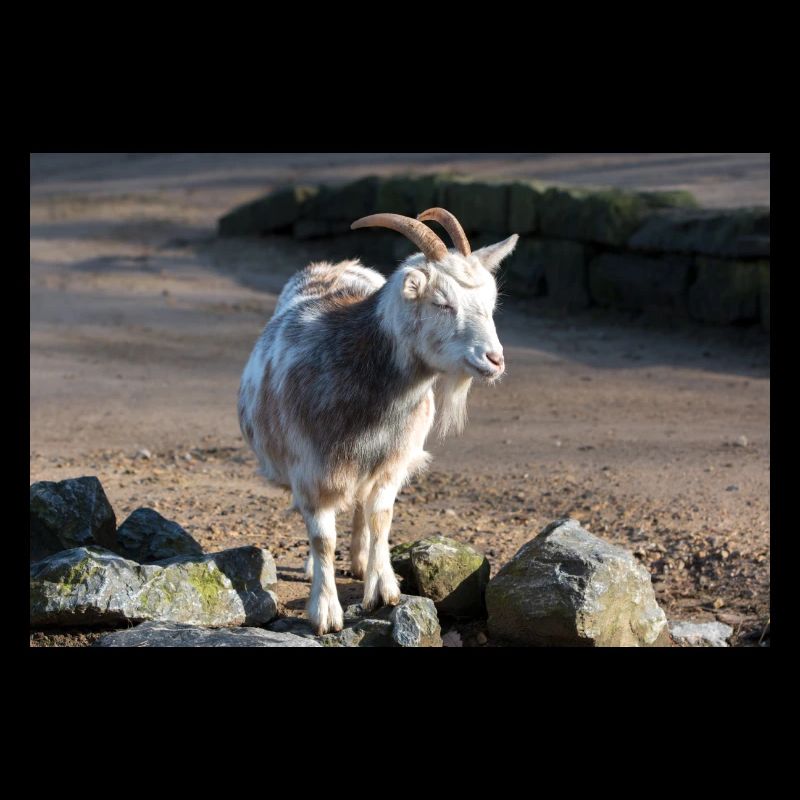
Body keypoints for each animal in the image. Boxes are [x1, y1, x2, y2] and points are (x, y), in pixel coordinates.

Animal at [238, 207, 518, 634]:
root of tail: (335, 265)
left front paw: (383, 588)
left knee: (360, 507)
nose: (494, 359)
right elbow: (322, 539)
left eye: (490, 302)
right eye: (442, 303)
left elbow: (380, 518)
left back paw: (358, 560)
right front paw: (325, 612)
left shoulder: (393, 461)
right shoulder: (310, 469)